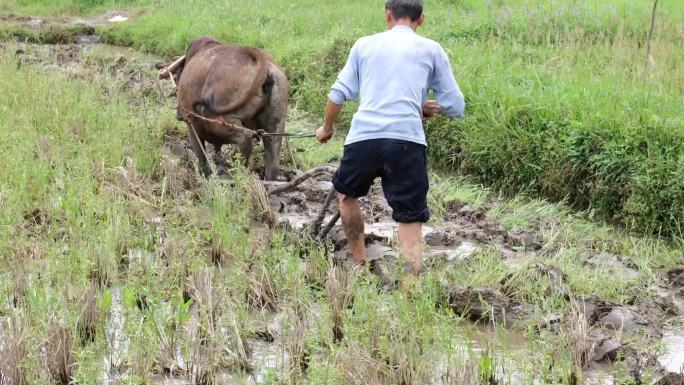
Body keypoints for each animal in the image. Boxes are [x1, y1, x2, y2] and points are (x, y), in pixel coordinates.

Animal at [175, 36, 288, 179]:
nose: (178, 115)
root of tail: (262, 59)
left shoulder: (192, 126)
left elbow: (202, 159)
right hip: (275, 126)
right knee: (272, 161)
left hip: (217, 120)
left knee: (245, 138)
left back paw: (235, 172)